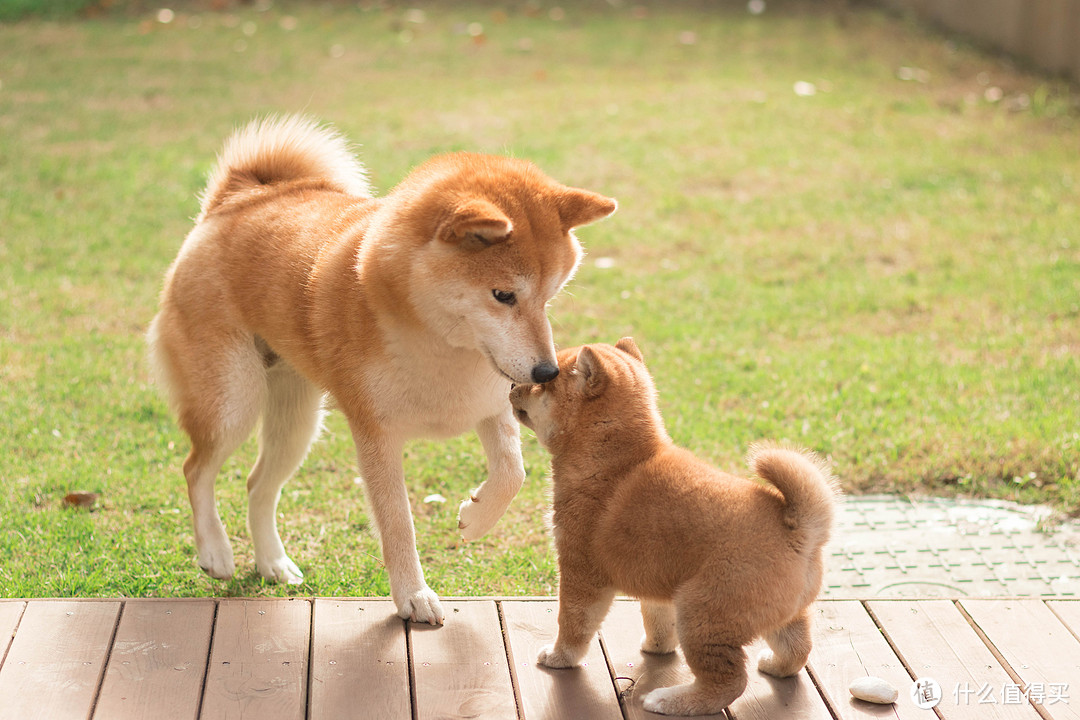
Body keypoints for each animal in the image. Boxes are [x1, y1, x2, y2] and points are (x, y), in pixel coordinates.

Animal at [149, 117, 617, 626]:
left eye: (552, 295)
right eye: (503, 295)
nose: (546, 371)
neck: (439, 343)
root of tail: (240, 197)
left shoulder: (491, 404)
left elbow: (513, 474)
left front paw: (475, 518)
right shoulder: (377, 434)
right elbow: (398, 524)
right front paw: (413, 595)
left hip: (297, 423)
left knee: (258, 485)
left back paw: (273, 562)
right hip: (234, 401)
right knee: (196, 468)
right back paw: (215, 552)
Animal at [509, 341, 838, 716]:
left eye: (543, 382)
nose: (511, 385)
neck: (613, 460)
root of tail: (801, 532)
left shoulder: (581, 571)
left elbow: (573, 624)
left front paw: (560, 657)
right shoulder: (657, 578)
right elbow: (657, 620)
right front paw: (657, 647)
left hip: (701, 613)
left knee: (728, 682)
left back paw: (670, 700)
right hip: (777, 614)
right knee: (798, 649)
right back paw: (774, 664)